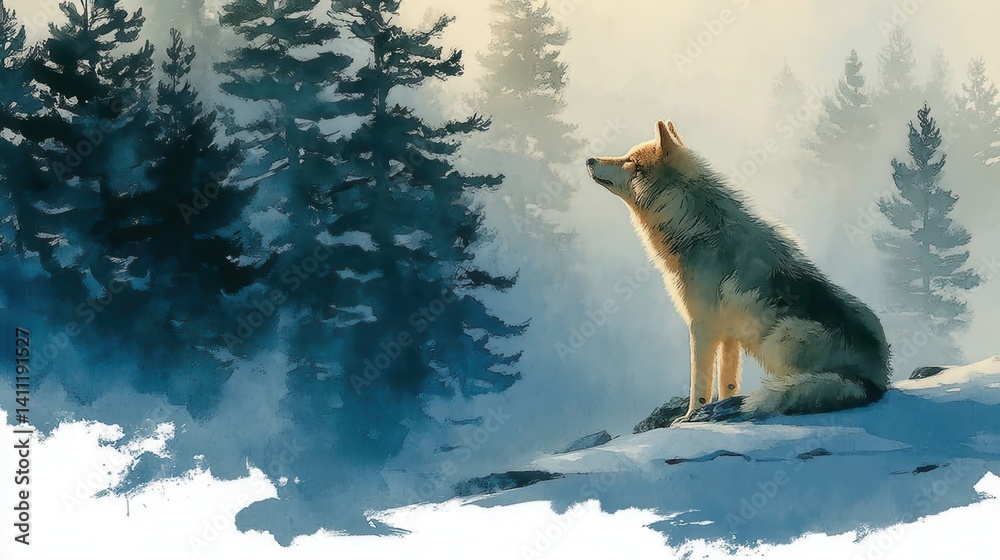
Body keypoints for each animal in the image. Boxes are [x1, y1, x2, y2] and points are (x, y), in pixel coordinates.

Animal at [586, 120, 891, 422]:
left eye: (630, 161)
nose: (590, 159)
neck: (694, 226)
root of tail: (875, 384)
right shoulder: (729, 334)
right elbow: (728, 382)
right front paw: (718, 406)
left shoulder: (702, 325)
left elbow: (700, 381)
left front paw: (691, 416)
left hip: (778, 339)